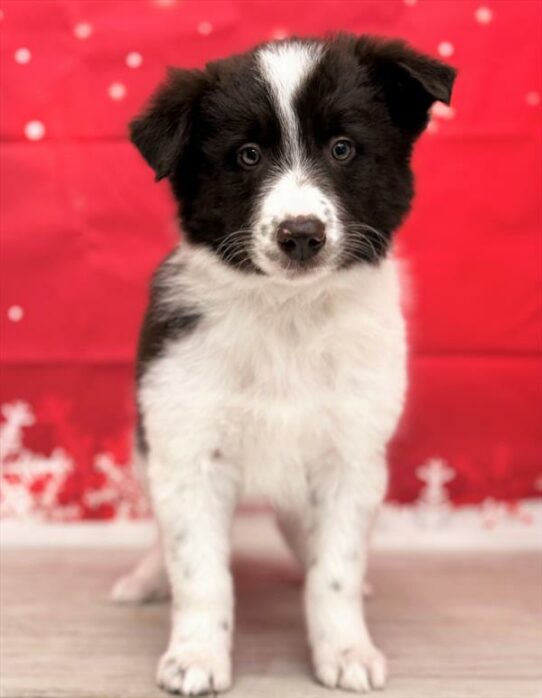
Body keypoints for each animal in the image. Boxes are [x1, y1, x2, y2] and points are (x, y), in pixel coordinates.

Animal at [112, 35, 456, 692]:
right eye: (246, 156)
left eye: (342, 148)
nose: (301, 234)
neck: (287, 314)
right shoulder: (186, 449)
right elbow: (200, 572)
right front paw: (196, 656)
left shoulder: (352, 456)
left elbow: (336, 570)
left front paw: (345, 650)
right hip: (146, 449)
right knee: (163, 535)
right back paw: (146, 577)